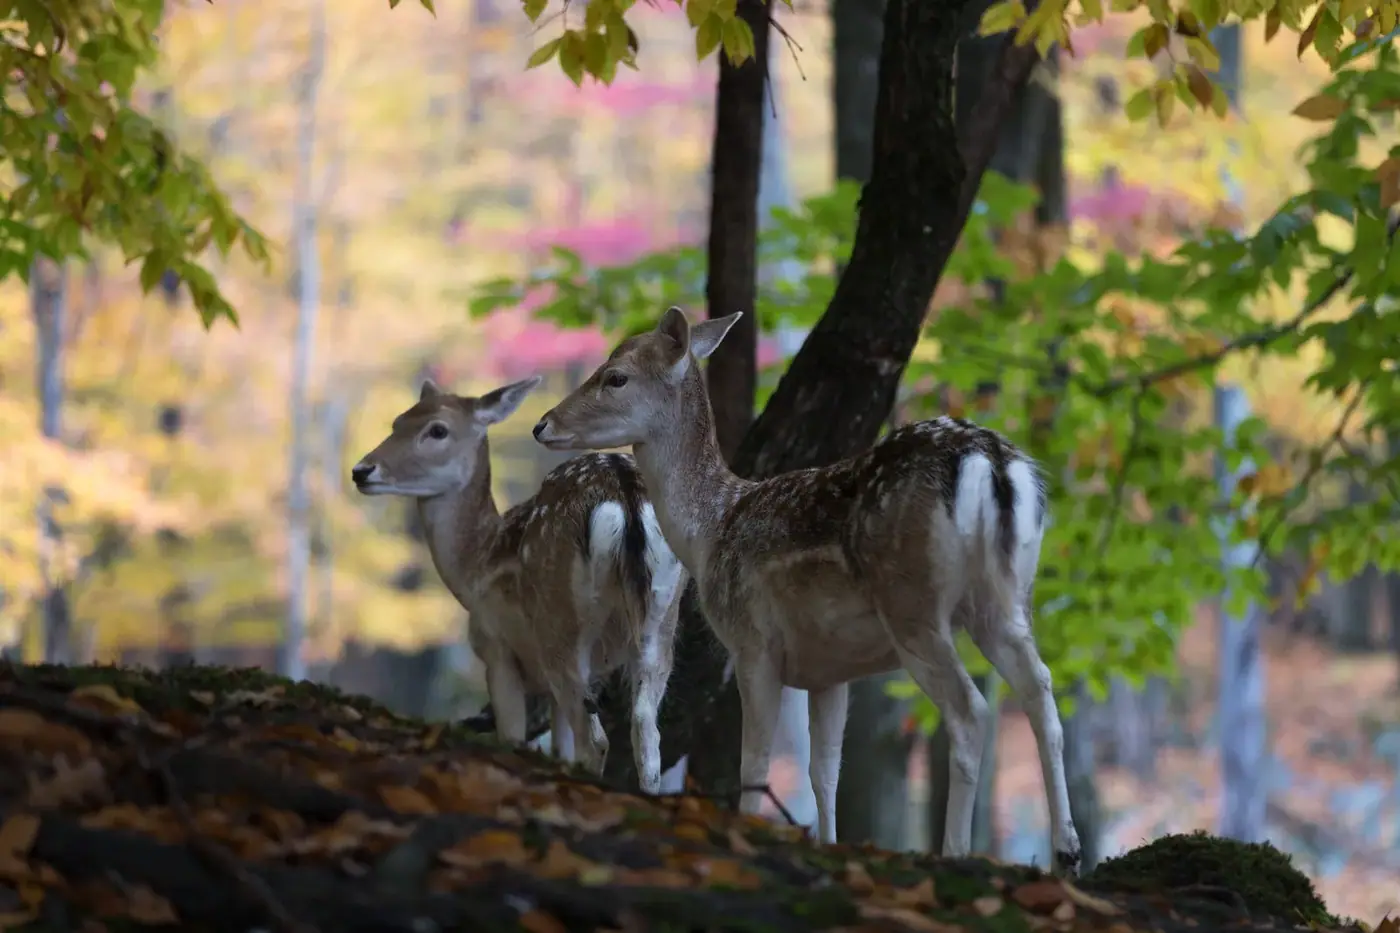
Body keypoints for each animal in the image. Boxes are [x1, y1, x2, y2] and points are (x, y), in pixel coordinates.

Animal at [350, 375, 686, 794]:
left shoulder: (497, 650)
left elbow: (512, 737)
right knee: (647, 737)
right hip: (661, 623)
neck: (475, 566)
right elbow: (560, 746)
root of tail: (621, 493)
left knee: (595, 740)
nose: (362, 470)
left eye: (437, 430)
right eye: (398, 421)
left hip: (561, 629)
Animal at [530, 306, 1082, 874]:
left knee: (970, 710)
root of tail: (990, 462)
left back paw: (954, 854)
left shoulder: (752, 643)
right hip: (1007, 597)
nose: (542, 424)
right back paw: (1068, 850)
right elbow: (825, 773)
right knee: (1041, 690)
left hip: (914, 606)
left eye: (616, 377)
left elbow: (755, 762)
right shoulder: (829, 669)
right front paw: (831, 845)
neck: (711, 531)